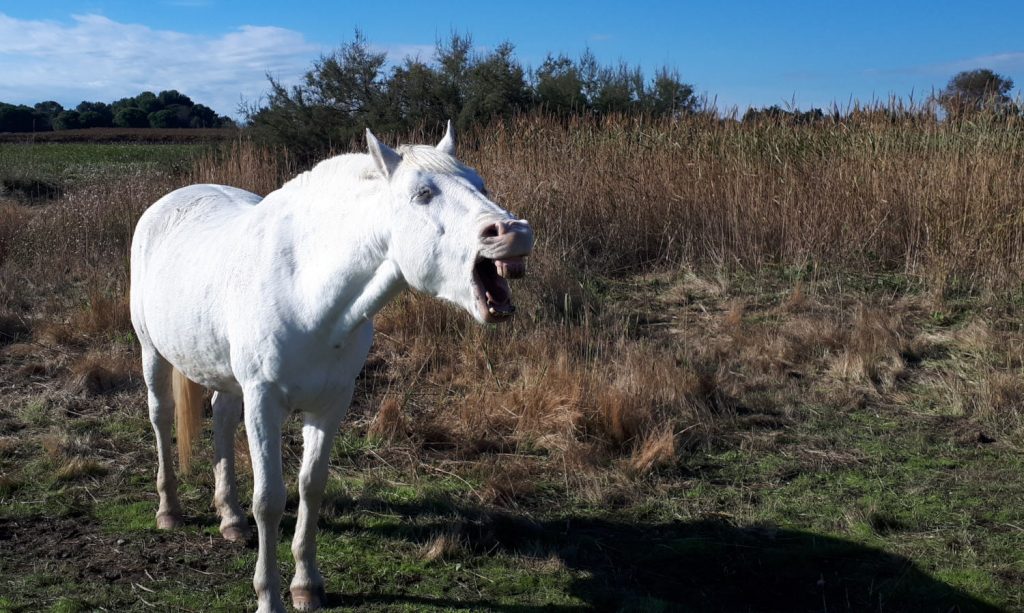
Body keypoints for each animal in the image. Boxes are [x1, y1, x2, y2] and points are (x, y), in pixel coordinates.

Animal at [130, 122, 536, 609]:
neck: (306, 289)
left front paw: (306, 585)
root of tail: (168, 202)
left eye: (481, 184)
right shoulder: (263, 401)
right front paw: (268, 596)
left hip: (227, 379)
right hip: (151, 352)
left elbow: (311, 486)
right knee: (161, 417)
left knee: (222, 418)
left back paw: (230, 518)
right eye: (422, 194)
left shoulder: (331, 403)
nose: (514, 232)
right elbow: (269, 499)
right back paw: (169, 510)